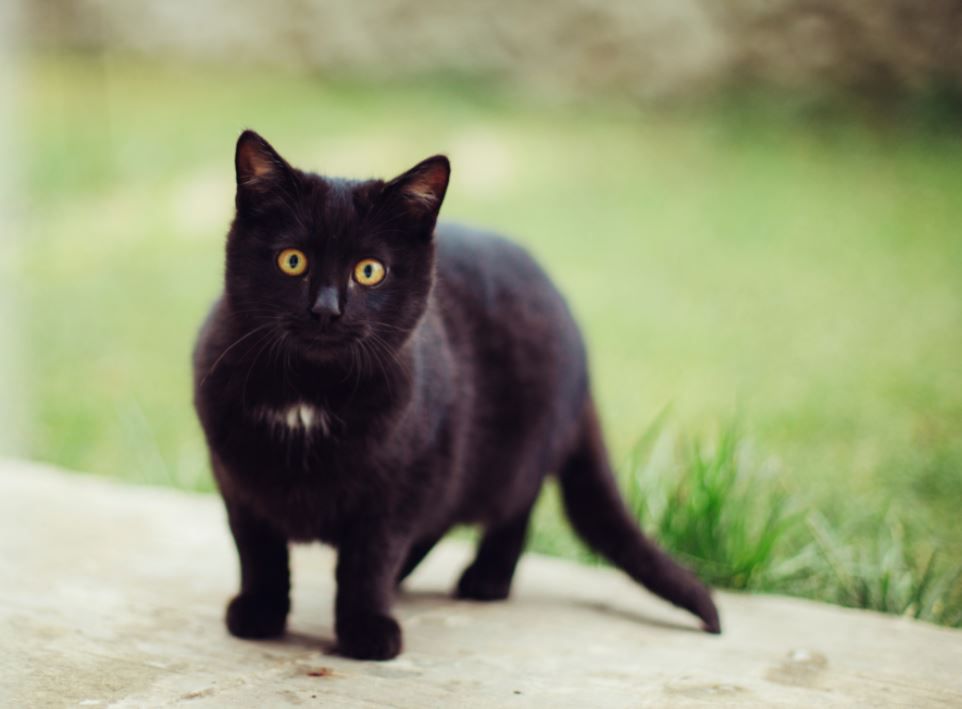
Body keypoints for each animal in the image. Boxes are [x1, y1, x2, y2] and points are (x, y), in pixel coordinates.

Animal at [195, 130, 716, 660]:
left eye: (369, 271)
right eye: (292, 260)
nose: (326, 310)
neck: (309, 393)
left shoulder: (401, 481)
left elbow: (369, 558)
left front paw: (366, 628)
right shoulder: (237, 479)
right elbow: (257, 549)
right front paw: (260, 613)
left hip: (508, 454)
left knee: (514, 509)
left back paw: (487, 579)